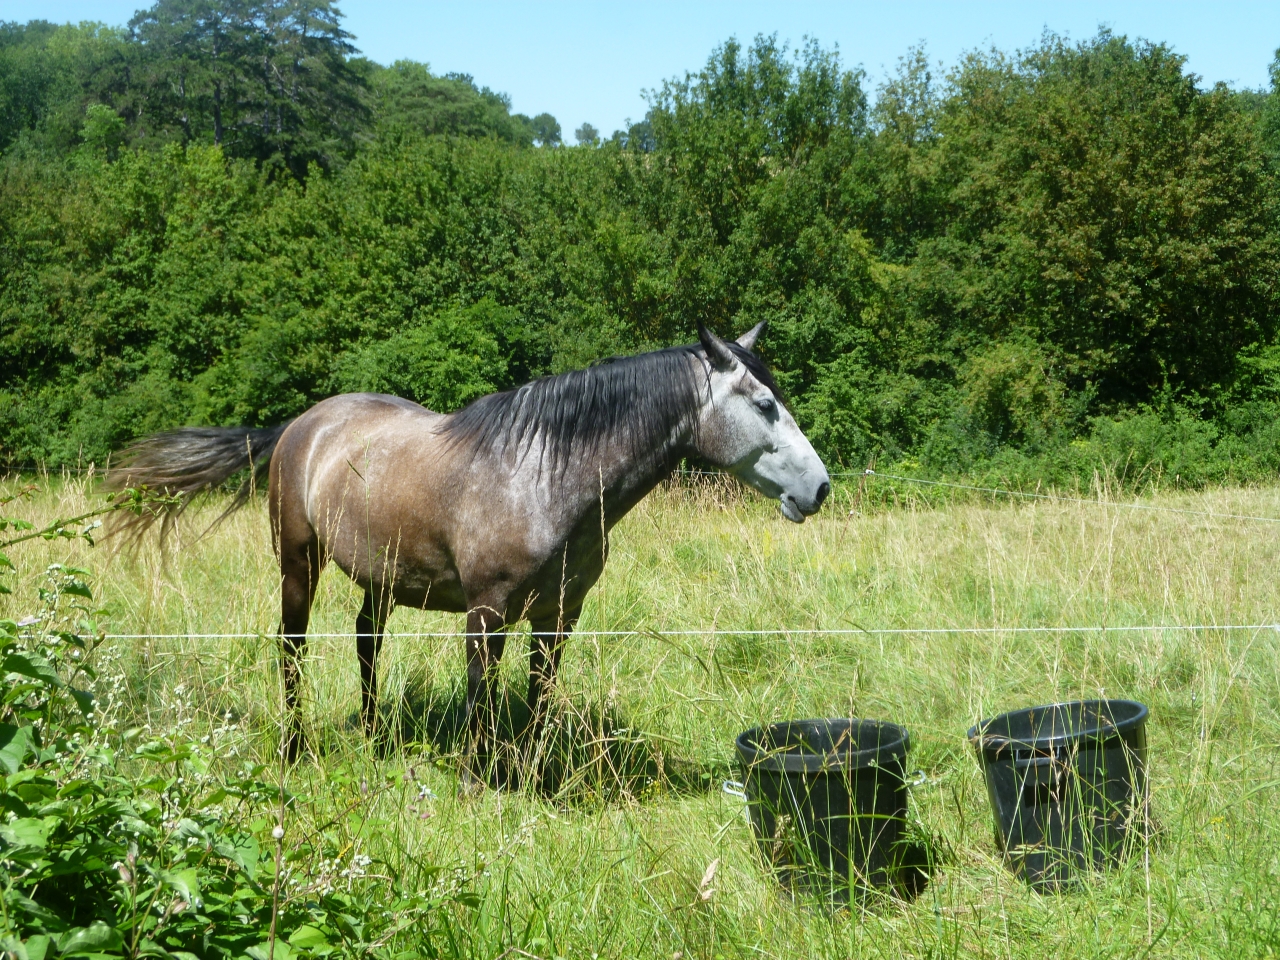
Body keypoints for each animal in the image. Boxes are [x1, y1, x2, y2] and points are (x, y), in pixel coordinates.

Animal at [108, 323, 831, 779]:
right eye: (764, 404)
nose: (819, 487)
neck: (545, 475)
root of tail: (300, 425)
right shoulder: (486, 614)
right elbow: (481, 705)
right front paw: (478, 781)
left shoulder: (558, 615)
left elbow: (539, 702)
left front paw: (534, 777)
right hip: (297, 565)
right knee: (292, 648)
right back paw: (294, 749)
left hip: (381, 578)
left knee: (366, 641)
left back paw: (372, 736)